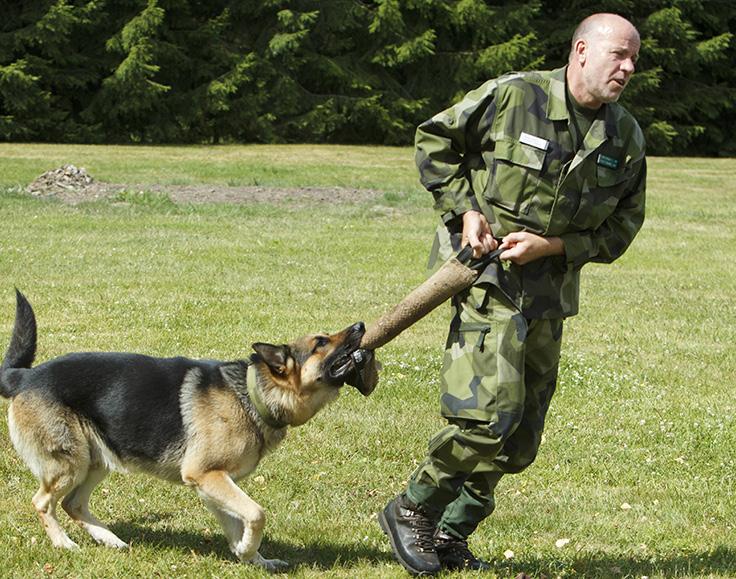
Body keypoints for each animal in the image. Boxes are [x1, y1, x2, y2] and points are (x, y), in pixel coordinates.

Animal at [0, 290, 368, 572]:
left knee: (72, 504)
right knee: (42, 502)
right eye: (321, 342)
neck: (251, 393)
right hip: (70, 462)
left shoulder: (214, 483)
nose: (362, 325)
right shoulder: (206, 476)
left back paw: (111, 541)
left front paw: (252, 558)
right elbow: (257, 514)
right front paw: (249, 551)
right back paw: (64, 544)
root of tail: (24, 376)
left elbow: (239, 522)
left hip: (97, 459)